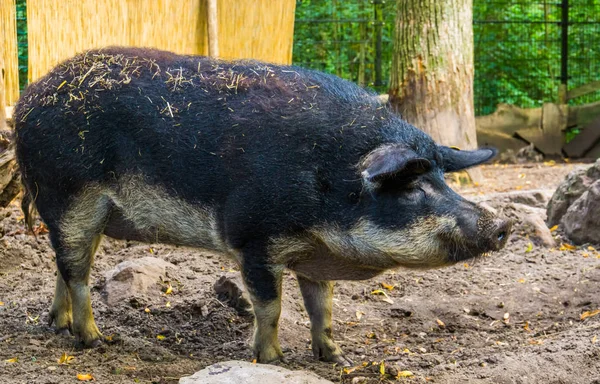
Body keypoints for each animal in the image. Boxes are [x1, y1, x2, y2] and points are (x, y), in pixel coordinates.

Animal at [14, 48, 508, 366]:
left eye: (443, 179)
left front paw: (336, 358)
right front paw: (275, 359)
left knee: (64, 266)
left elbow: (323, 306)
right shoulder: (251, 238)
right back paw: (96, 341)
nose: (501, 224)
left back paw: (57, 325)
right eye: (411, 188)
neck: (328, 178)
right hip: (69, 196)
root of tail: (26, 100)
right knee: (77, 272)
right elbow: (270, 306)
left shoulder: (315, 255)